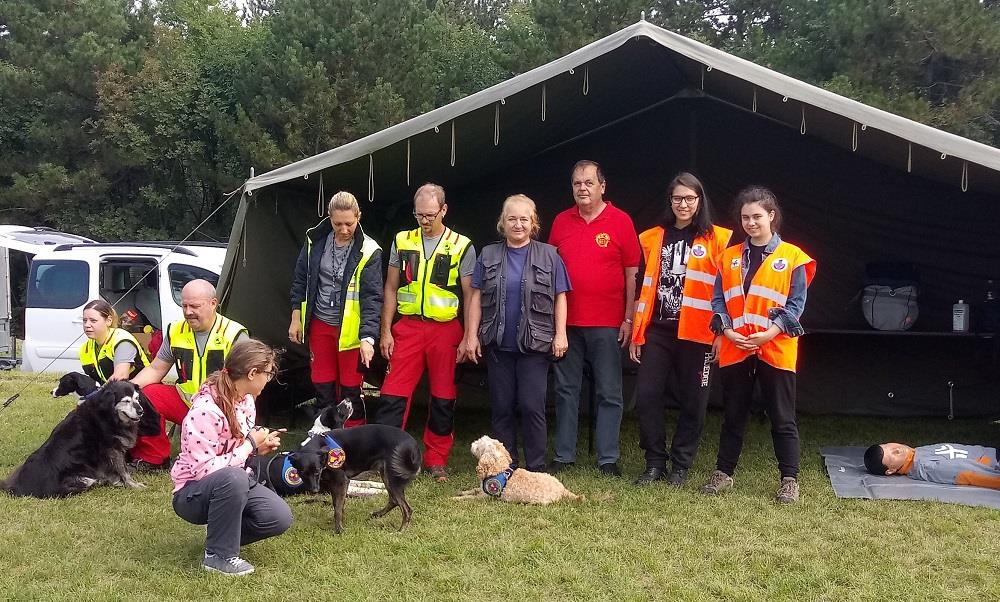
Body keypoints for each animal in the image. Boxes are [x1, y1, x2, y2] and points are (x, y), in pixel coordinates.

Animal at [1, 381, 161, 497]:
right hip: (82, 481)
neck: (107, 413)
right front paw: (132, 485)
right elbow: (123, 470)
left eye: (137, 399)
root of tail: (19, 487)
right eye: (126, 401)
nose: (141, 411)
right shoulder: (112, 449)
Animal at [300, 397, 422, 533]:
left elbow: (339, 507)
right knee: (395, 500)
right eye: (338, 410)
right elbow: (338, 505)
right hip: (387, 476)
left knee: (406, 509)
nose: (347, 399)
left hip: (393, 479)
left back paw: (400, 532)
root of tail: (413, 444)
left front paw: (339, 529)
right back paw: (379, 515)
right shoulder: (336, 484)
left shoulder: (342, 481)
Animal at [454, 435, 583, 505]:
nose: (472, 444)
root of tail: (562, 489)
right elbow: (473, 490)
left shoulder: (485, 497)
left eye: (478, 446)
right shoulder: (482, 489)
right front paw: (462, 492)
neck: (499, 469)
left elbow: (470, 497)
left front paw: (456, 498)